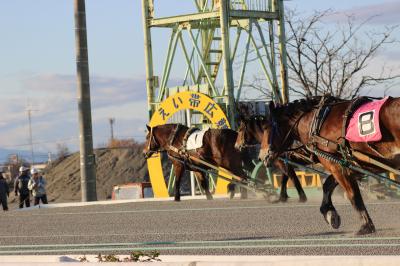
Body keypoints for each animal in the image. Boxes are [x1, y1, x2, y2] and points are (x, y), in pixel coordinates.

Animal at [260, 97, 400, 235]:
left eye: (266, 128)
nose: (262, 157)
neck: (319, 121)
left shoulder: (338, 167)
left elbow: (353, 195)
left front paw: (367, 225)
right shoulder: (347, 166)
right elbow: (327, 185)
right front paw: (329, 212)